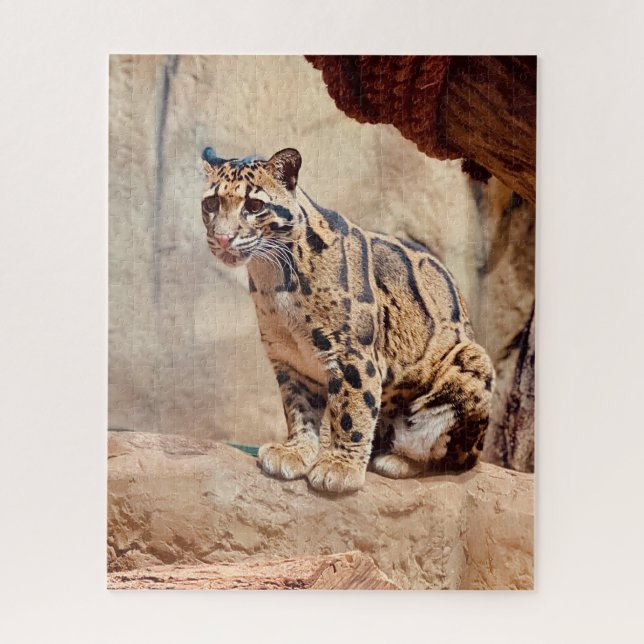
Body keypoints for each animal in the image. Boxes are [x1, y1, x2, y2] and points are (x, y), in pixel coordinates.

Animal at [201, 146, 495, 494]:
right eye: (210, 204)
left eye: (254, 206)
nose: (222, 238)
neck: (272, 276)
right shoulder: (289, 359)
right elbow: (298, 408)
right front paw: (296, 451)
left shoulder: (351, 353)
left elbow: (352, 411)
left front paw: (339, 467)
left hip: (472, 362)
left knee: (452, 457)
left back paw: (397, 460)